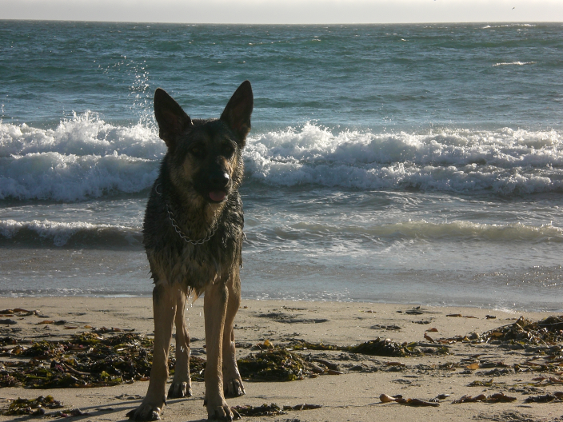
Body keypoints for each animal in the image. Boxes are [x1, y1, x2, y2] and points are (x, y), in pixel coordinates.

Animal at [128, 81, 253, 420]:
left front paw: (218, 402)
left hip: (233, 287)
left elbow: (215, 355)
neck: (196, 226)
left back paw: (233, 379)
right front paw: (151, 403)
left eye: (228, 149)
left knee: (228, 336)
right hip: (178, 292)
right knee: (182, 335)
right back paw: (181, 380)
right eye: (196, 151)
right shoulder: (164, 287)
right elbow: (160, 355)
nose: (222, 181)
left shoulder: (218, 289)